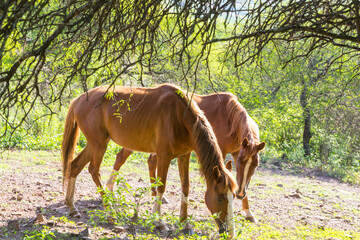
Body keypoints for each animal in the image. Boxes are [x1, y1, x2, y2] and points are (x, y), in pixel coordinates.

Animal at [60, 84, 238, 236]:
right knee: (94, 171)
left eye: (233, 196)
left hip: (94, 144)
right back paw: (110, 213)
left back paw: (72, 207)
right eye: (220, 198)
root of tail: (79, 99)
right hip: (99, 144)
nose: (229, 232)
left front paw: (185, 223)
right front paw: (159, 222)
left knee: (75, 166)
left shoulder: (184, 156)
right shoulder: (164, 156)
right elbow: (161, 187)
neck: (180, 116)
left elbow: (185, 186)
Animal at [105, 91, 266, 221]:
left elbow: (241, 180)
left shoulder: (237, 151)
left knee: (151, 161)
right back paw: (110, 190)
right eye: (240, 162)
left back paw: (155, 194)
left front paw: (248, 212)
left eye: (255, 166)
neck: (229, 118)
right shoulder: (223, 152)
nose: (240, 194)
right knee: (121, 158)